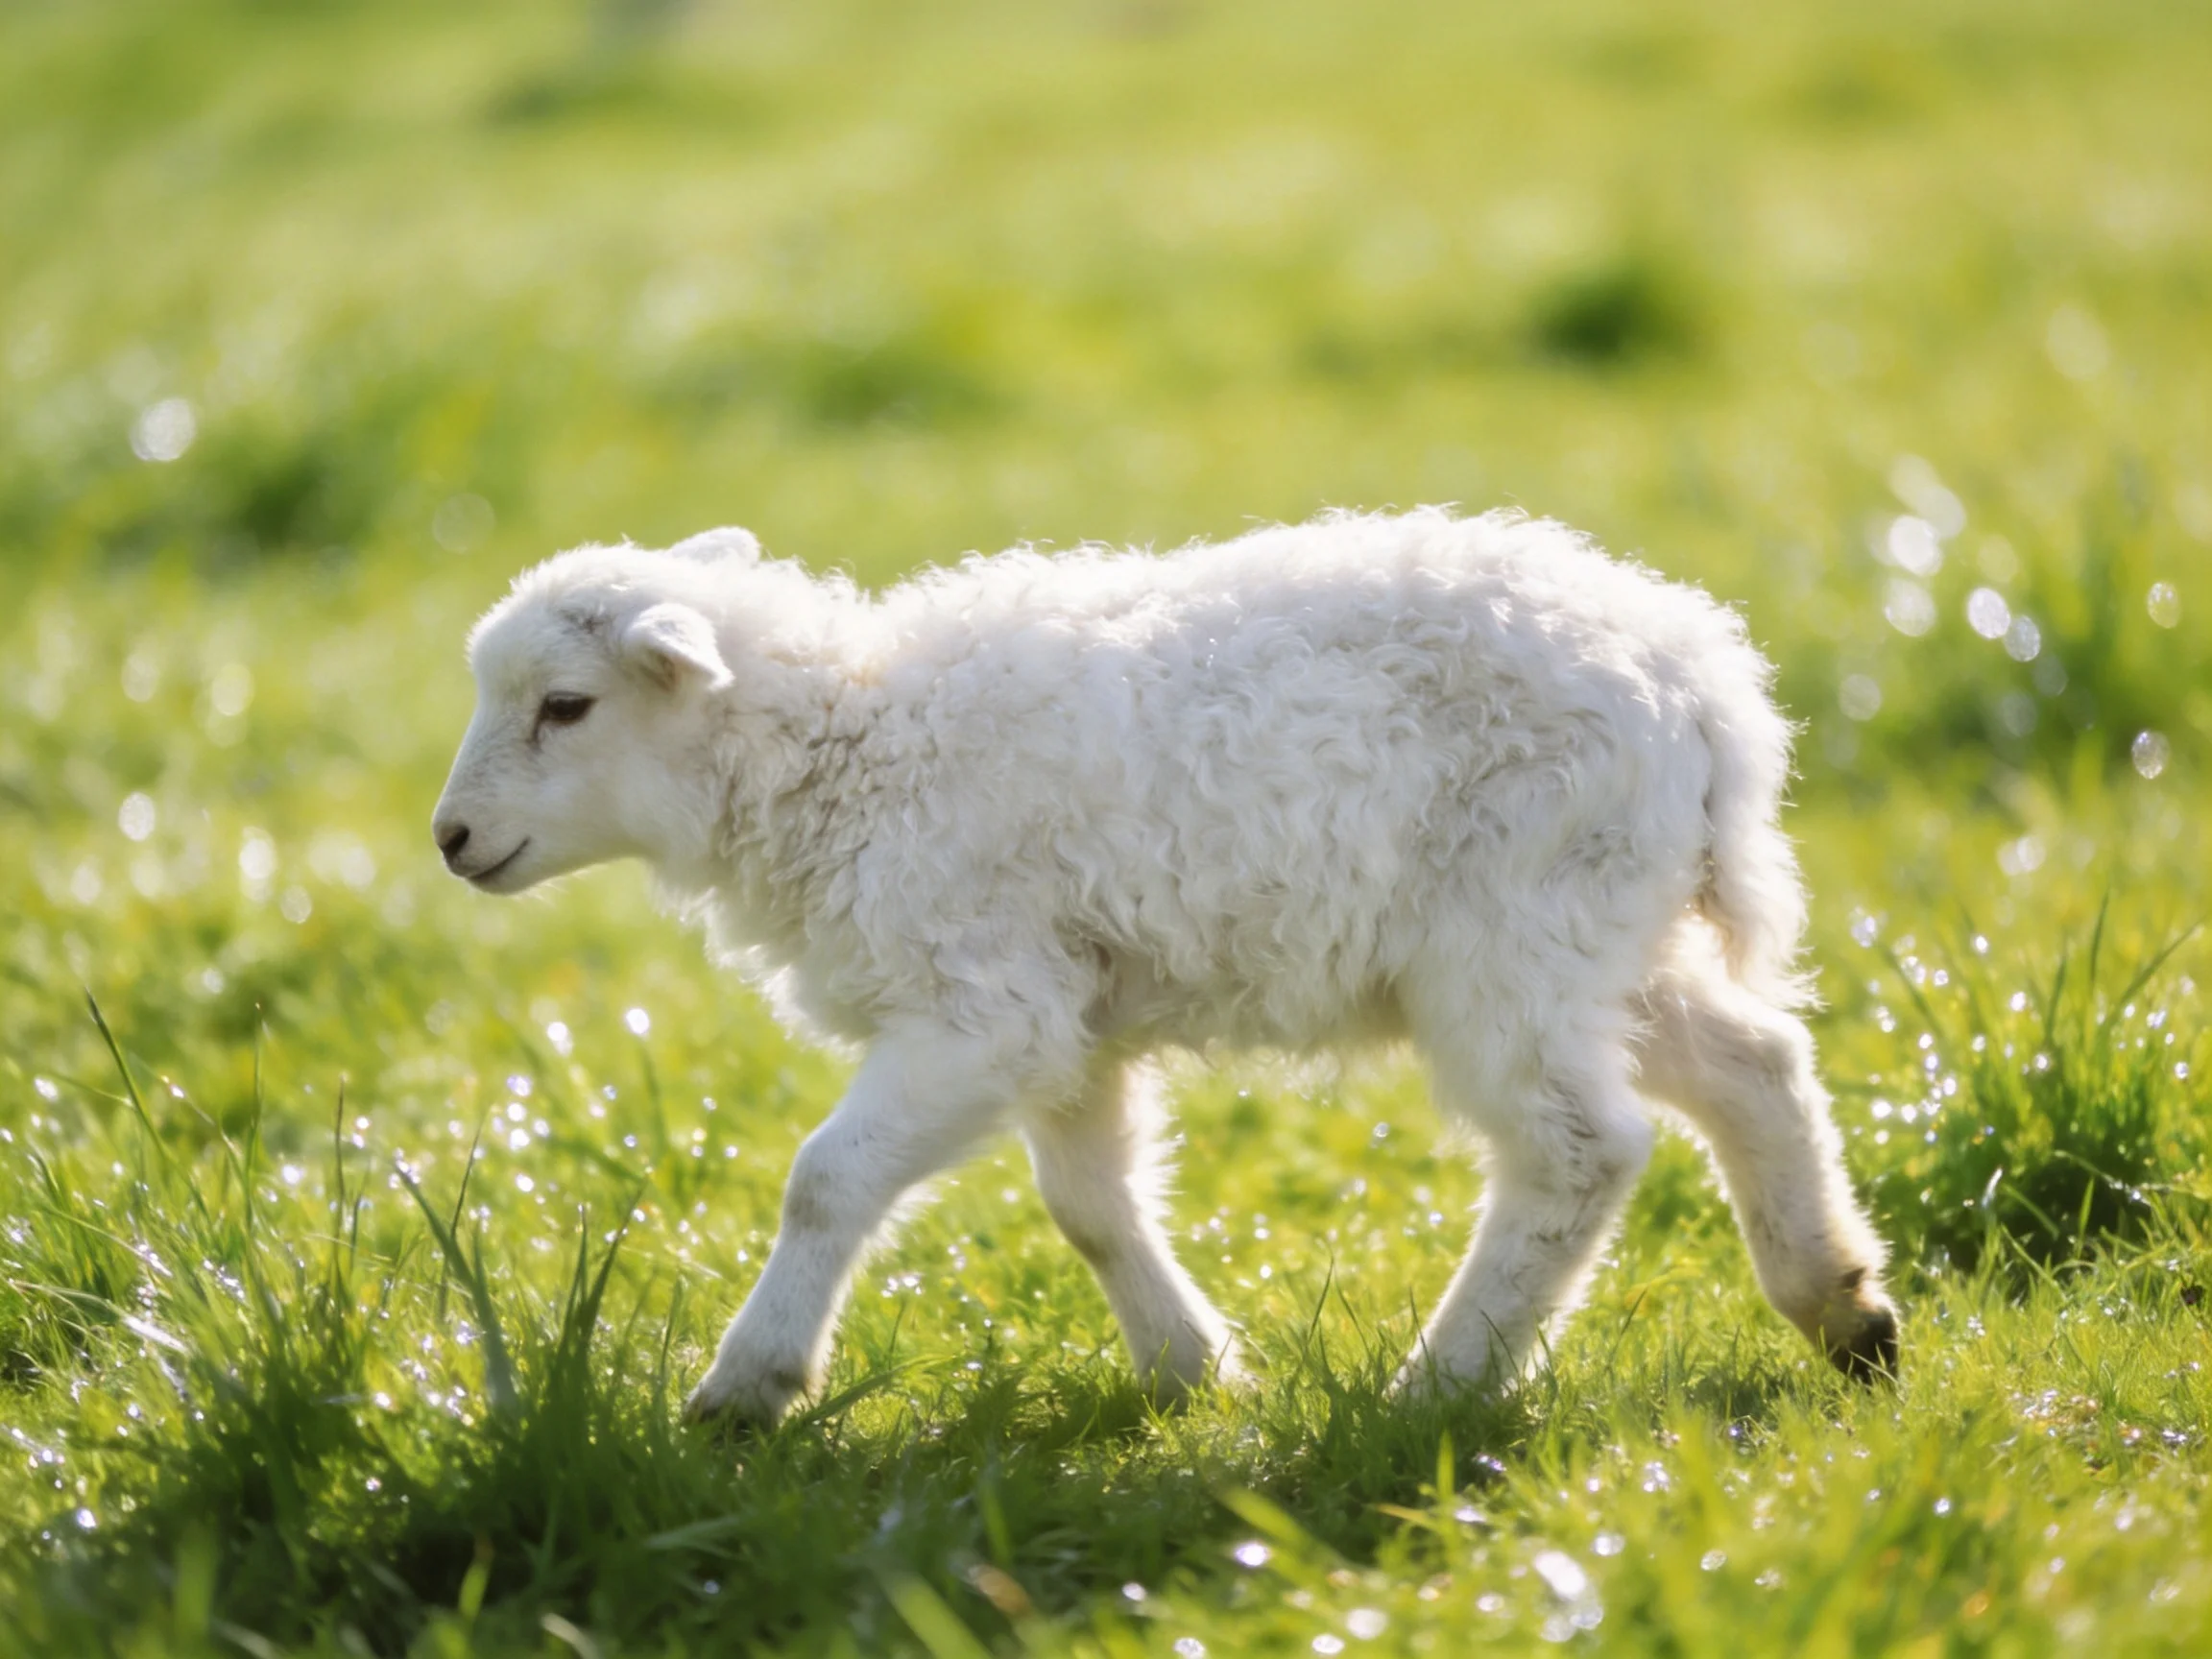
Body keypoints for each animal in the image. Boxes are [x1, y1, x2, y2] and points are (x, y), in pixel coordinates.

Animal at [431, 507, 1899, 1427]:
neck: (846, 746)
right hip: (1611, 926)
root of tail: (1709, 686)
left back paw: (1442, 1385)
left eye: (565, 707)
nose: (450, 840)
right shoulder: (1063, 1015)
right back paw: (1843, 1310)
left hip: (1511, 929)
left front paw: (749, 1389)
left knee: (1582, 1148)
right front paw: (1191, 1370)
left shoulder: (981, 1006)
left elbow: (825, 1181)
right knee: (1757, 1064)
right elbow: (1090, 1204)